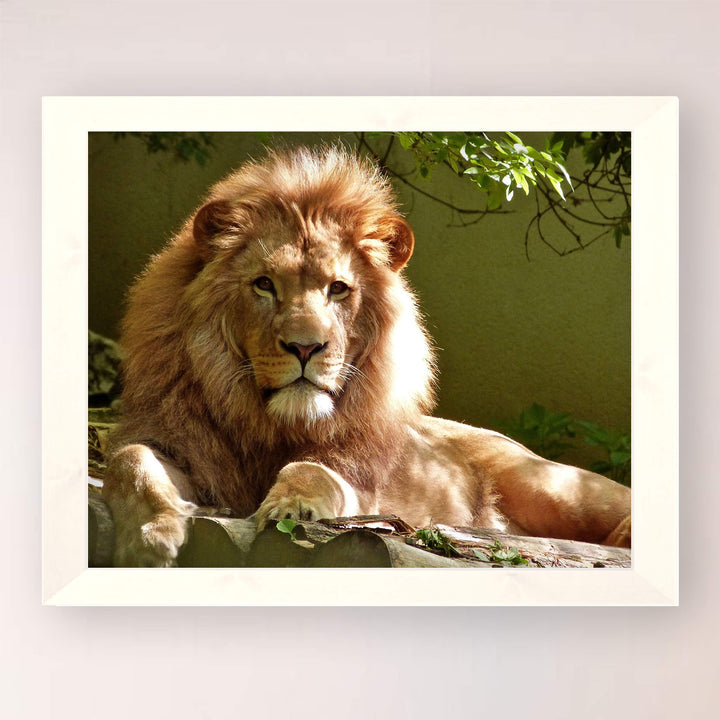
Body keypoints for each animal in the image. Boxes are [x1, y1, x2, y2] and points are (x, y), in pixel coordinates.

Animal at [102, 145, 631, 567]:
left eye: (338, 289)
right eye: (265, 285)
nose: (305, 347)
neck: (269, 422)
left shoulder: (361, 484)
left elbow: (311, 471)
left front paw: (291, 507)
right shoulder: (176, 441)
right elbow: (129, 461)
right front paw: (152, 536)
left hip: (553, 487)